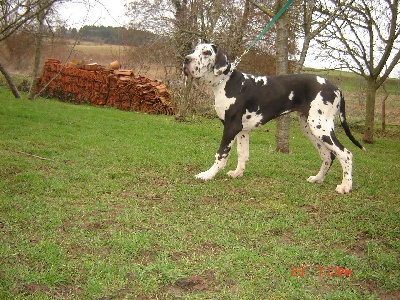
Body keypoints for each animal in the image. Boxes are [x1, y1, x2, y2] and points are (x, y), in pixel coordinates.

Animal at [183, 44, 364, 195]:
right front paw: (238, 173)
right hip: (309, 128)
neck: (226, 82)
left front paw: (208, 175)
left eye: (206, 52)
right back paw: (318, 178)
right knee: (328, 155)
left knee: (345, 154)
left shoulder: (230, 127)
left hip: (320, 127)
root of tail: (337, 89)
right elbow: (242, 153)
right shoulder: (242, 130)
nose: (186, 59)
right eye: (194, 49)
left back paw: (346, 186)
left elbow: (221, 155)